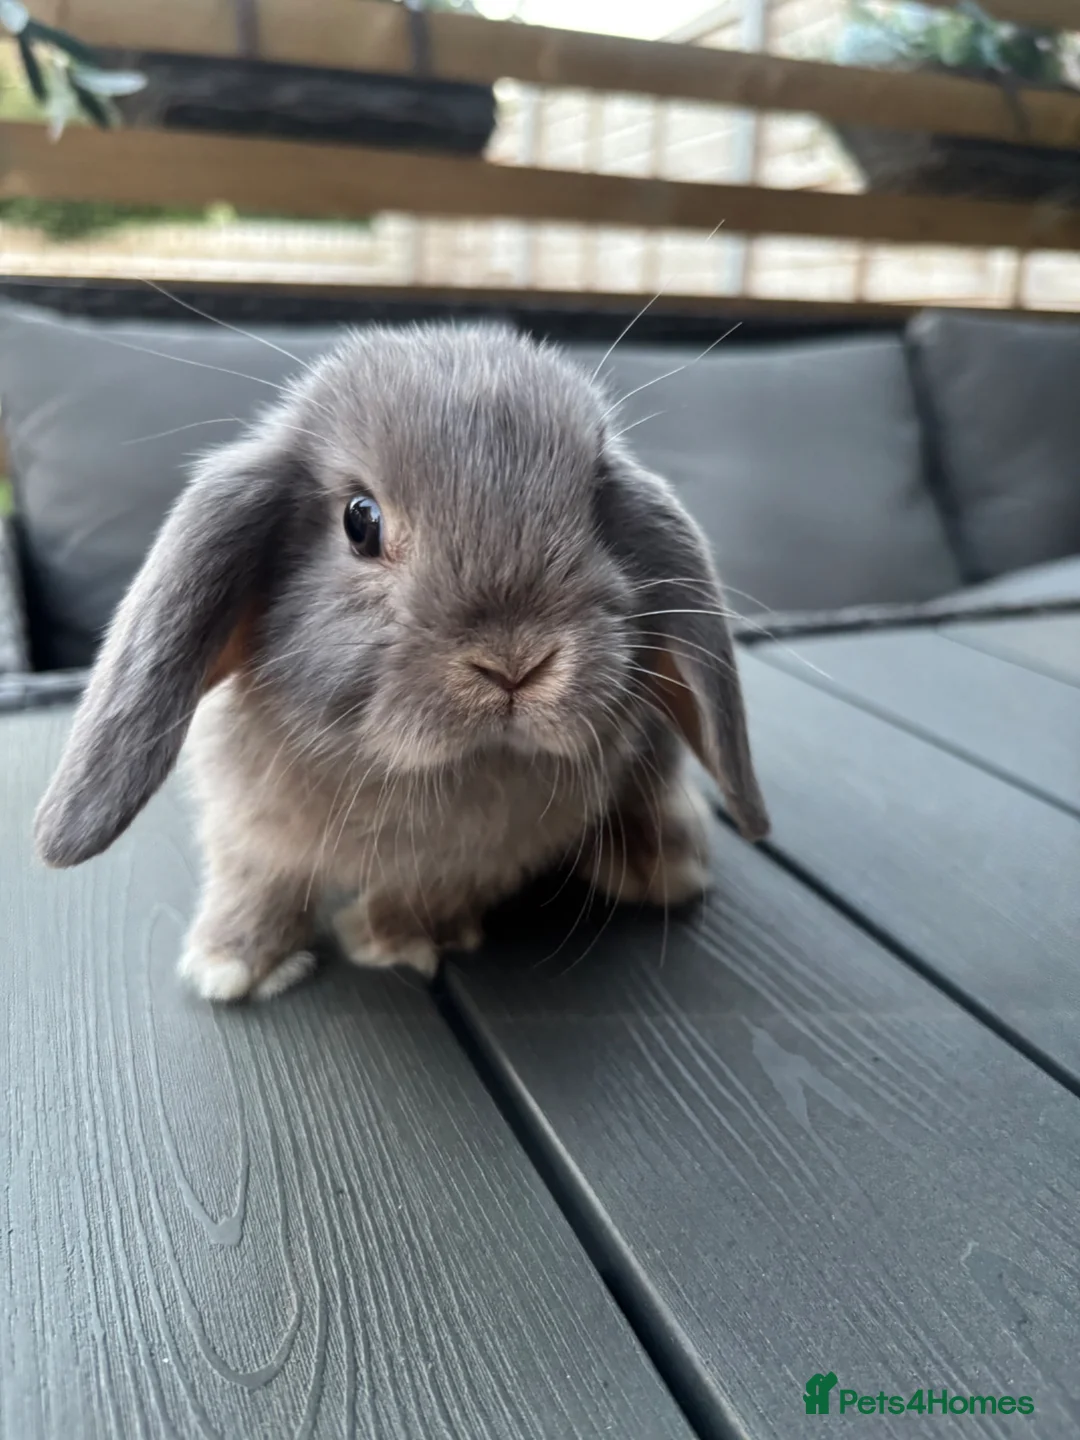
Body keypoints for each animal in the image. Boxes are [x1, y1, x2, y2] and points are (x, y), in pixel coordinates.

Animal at [33, 322, 769, 1002]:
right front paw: (233, 965)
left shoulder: (474, 861)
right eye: (361, 522)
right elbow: (256, 881)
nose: (515, 662)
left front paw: (396, 940)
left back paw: (657, 866)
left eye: (598, 513)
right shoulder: (248, 829)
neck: (418, 772)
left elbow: (425, 893)